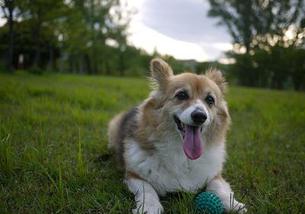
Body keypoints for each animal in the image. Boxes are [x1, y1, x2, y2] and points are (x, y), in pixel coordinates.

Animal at [108, 58, 246, 214]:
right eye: (181, 95)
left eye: (210, 100)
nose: (200, 116)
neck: (184, 155)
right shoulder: (133, 175)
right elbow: (147, 189)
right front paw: (150, 207)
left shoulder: (215, 175)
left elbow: (219, 187)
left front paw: (234, 204)